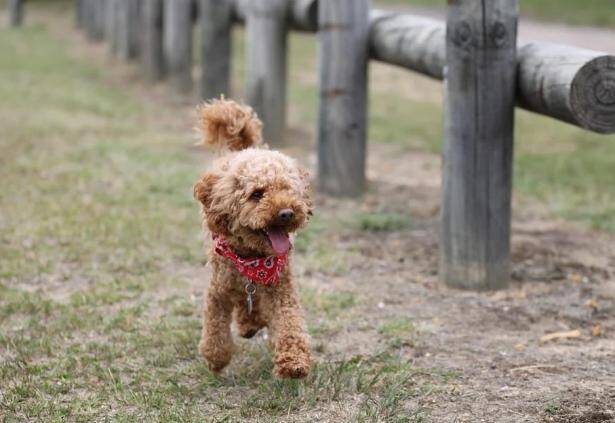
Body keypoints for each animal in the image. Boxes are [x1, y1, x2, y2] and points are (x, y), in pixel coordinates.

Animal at [195, 98, 316, 378]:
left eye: (288, 189)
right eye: (257, 194)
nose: (286, 213)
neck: (253, 258)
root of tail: (243, 151)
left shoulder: (282, 287)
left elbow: (290, 321)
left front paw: (293, 362)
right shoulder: (218, 290)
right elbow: (215, 328)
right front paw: (216, 359)